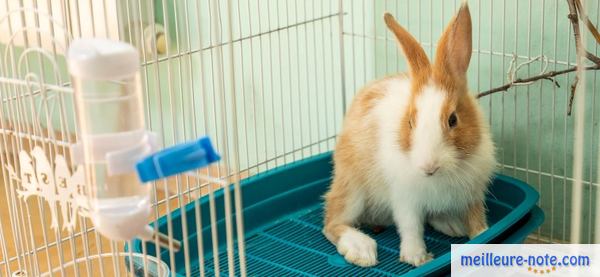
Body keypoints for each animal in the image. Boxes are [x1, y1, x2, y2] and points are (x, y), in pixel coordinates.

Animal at [324, 3, 496, 268]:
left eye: (453, 120)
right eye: (410, 122)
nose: (429, 167)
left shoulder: (473, 195)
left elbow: (477, 221)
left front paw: (481, 235)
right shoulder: (405, 198)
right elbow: (411, 226)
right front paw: (417, 257)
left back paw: (451, 224)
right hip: (352, 186)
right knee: (332, 221)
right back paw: (361, 249)